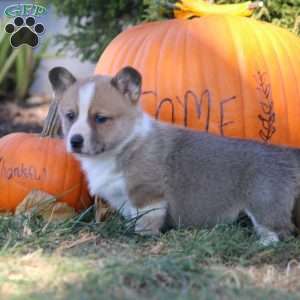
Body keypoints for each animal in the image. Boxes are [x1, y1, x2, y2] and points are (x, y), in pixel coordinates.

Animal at [49, 66, 300, 246]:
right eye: (70, 116)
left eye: (101, 118)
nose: (75, 141)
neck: (124, 146)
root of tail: (287, 155)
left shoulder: (149, 195)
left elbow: (146, 220)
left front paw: (141, 237)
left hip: (263, 202)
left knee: (280, 230)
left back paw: (263, 244)